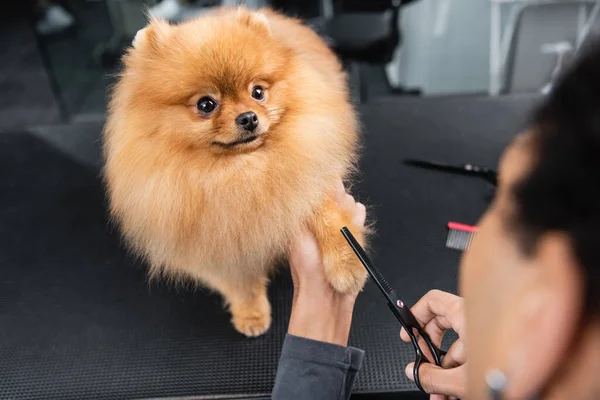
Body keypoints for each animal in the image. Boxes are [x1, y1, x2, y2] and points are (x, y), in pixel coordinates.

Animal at [104, 7, 366, 336]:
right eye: (206, 104)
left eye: (258, 92)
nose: (249, 118)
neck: (239, 171)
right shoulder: (214, 236)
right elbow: (239, 282)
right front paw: (251, 313)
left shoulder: (309, 171)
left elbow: (328, 215)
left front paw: (347, 266)